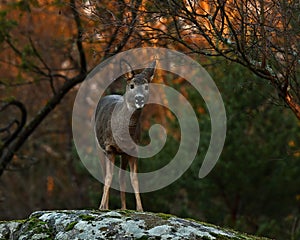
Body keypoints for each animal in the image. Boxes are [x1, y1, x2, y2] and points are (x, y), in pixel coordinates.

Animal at [94, 60, 156, 212]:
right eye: (132, 85)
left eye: (146, 86)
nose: (139, 98)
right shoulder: (109, 148)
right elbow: (108, 177)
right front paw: (102, 207)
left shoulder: (133, 149)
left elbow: (134, 178)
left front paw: (140, 209)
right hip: (98, 146)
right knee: (105, 174)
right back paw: (105, 206)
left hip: (123, 154)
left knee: (121, 177)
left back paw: (123, 208)